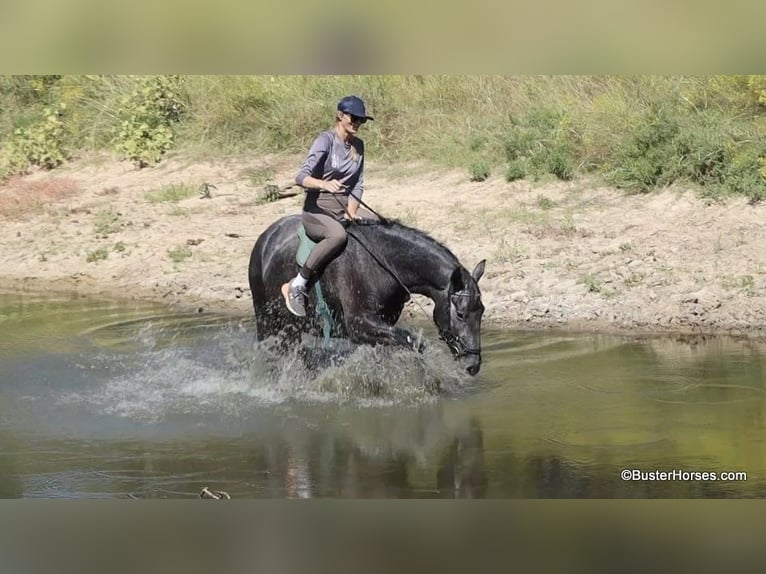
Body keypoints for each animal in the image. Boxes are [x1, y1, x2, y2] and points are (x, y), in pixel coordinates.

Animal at [247, 214, 486, 375]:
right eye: (461, 314)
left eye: (481, 312)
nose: (473, 366)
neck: (383, 264)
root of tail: (266, 237)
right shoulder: (360, 325)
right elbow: (414, 343)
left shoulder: (380, 325)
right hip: (269, 321)